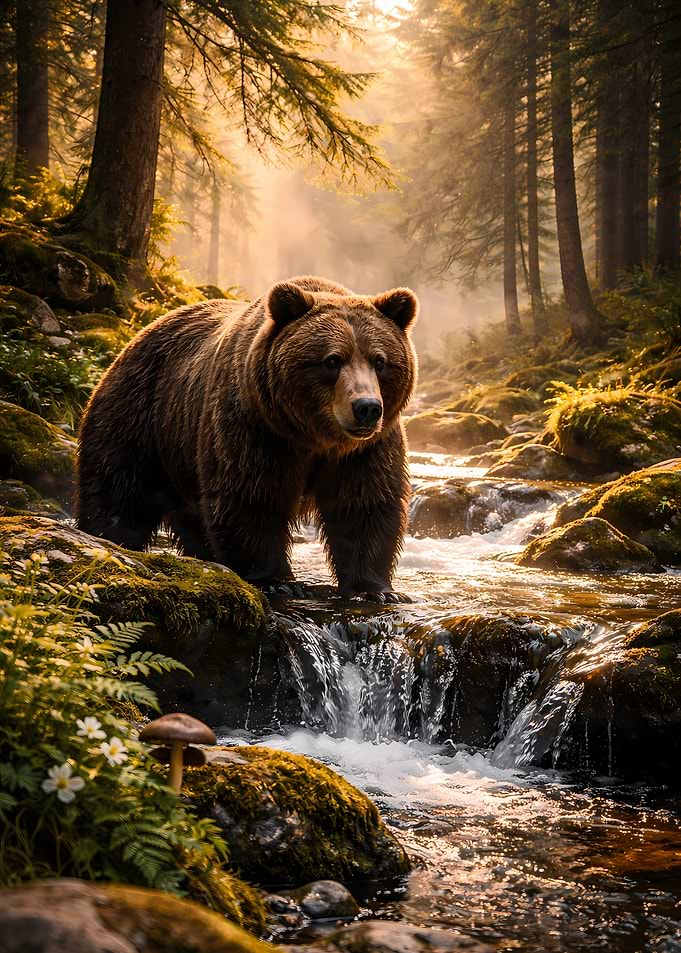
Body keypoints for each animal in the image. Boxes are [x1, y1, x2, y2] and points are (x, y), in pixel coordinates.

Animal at [77, 275, 418, 601]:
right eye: (332, 360)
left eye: (379, 361)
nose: (366, 408)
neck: (314, 436)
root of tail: (135, 337)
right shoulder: (256, 428)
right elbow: (251, 495)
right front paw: (277, 582)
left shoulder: (366, 449)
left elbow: (363, 505)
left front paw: (375, 589)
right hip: (139, 417)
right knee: (118, 493)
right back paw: (107, 539)